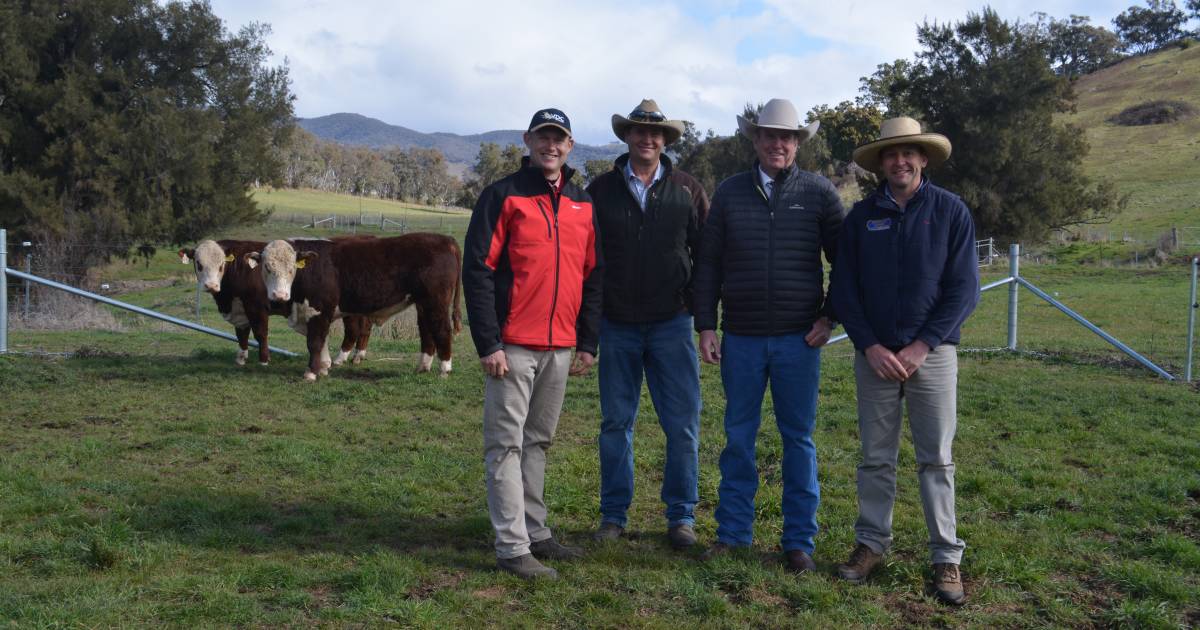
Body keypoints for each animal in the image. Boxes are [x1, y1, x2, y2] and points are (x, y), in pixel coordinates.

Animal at [250, 230, 460, 379]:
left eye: (292, 268)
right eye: (266, 267)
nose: (279, 295)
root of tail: (445, 240)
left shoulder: (319, 310)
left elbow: (315, 341)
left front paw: (311, 372)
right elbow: (323, 340)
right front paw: (323, 367)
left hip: (436, 302)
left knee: (442, 330)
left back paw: (444, 369)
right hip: (423, 304)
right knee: (427, 331)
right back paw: (423, 367)